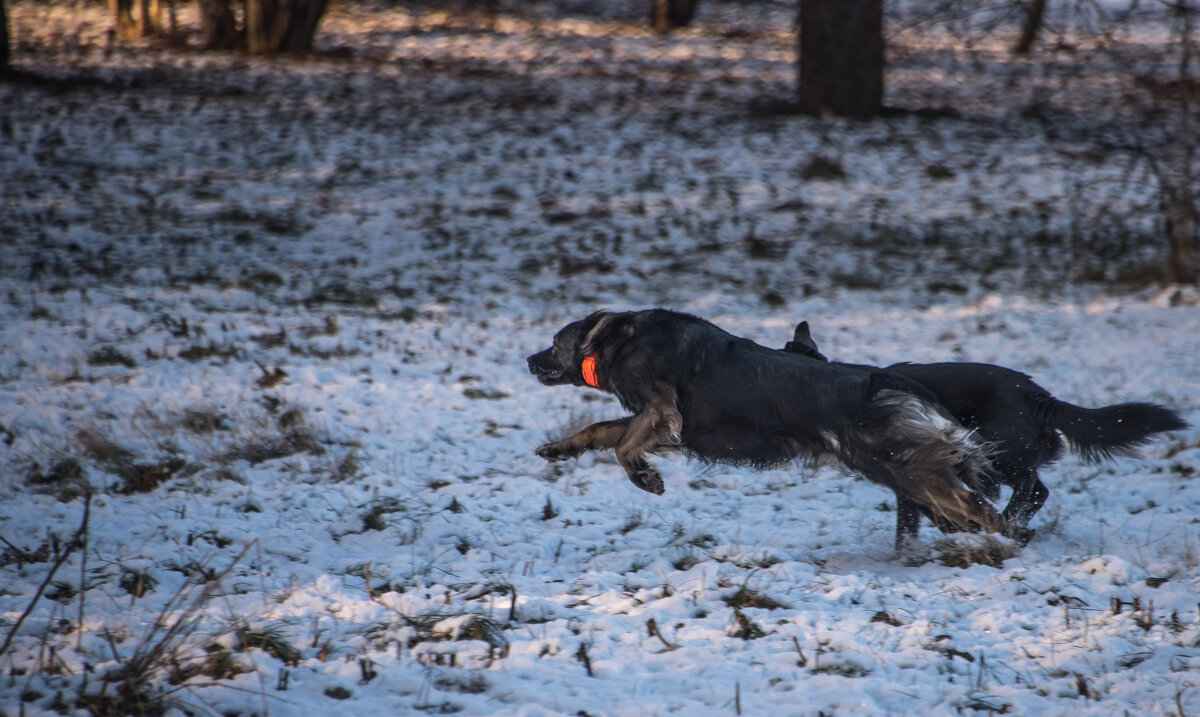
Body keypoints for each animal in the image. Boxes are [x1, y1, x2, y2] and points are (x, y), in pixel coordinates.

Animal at [530, 309, 1008, 551]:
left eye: (553, 343)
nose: (530, 360)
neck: (621, 340)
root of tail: (889, 383)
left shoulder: (663, 411)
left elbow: (623, 446)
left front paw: (645, 477)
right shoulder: (666, 423)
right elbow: (600, 430)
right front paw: (559, 448)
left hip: (904, 467)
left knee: (981, 509)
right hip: (901, 472)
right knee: (967, 509)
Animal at [782, 323, 1185, 541]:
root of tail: (1037, 394)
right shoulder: (909, 483)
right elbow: (908, 525)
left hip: (996, 453)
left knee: (1031, 488)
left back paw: (1007, 521)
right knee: (1036, 492)